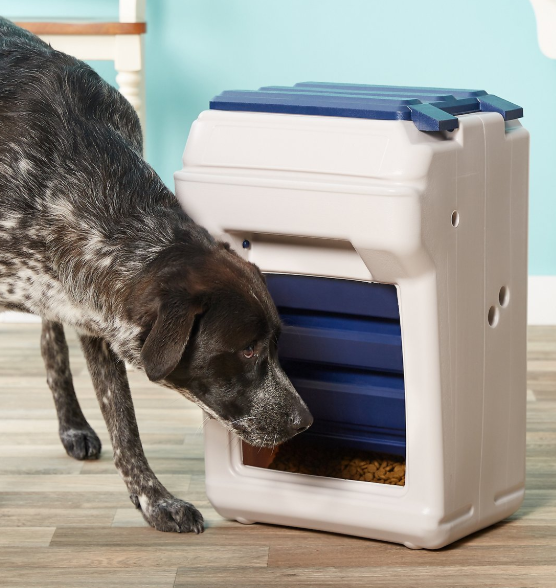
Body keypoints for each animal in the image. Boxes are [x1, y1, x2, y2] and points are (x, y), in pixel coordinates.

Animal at [0, 17, 312, 532]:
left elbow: (124, 421)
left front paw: (155, 500)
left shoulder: (89, 309)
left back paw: (73, 424)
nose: (305, 421)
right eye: (247, 349)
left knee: (50, 340)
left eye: (276, 343)